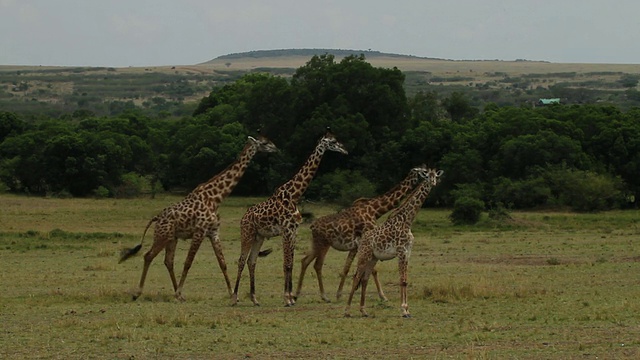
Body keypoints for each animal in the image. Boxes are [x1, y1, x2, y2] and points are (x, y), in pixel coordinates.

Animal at [120, 135, 278, 300]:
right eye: (265, 143)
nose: (275, 148)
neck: (216, 198)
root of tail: (156, 218)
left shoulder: (213, 232)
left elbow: (222, 263)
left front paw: (231, 293)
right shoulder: (199, 231)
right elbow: (188, 262)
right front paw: (179, 291)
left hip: (172, 238)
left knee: (168, 261)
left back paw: (177, 294)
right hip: (161, 236)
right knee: (148, 256)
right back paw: (138, 293)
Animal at [231, 129, 348, 306]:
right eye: (333, 141)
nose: (345, 149)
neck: (294, 195)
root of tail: (243, 218)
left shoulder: (294, 230)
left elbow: (291, 263)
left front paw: (291, 296)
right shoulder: (286, 230)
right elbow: (286, 264)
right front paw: (287, 298)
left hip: (259, 236)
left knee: (252, 261)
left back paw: (255, 299)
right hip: (247, 233)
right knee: (241, 260)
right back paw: (234, 297)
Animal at [296, 165, 430, 302]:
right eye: (423, 172)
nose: (430, 175)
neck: (375, 210)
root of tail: (312, 226)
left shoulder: (357, 246)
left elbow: (346, 268)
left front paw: (339, 294)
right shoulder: (366, 244)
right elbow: (373, 270)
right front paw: (382, 296)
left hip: (315, 244)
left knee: (305, 261)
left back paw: (296, 294)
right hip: (324, 244)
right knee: (317, 265)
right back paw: (324, 296)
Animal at [344, 167, 444, 316]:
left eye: (435, 176)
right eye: (426, 175)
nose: (433, 182)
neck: (407, 222)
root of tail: (361, 241)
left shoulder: (408, 253)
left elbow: (405, 280)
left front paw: (407, 309)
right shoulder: (401, 252)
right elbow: (402, 280)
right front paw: (403, 309)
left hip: (373, 258)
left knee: (365, 279)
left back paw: (363, 311)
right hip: (364, 255)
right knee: (356, 277)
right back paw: (347, 311)